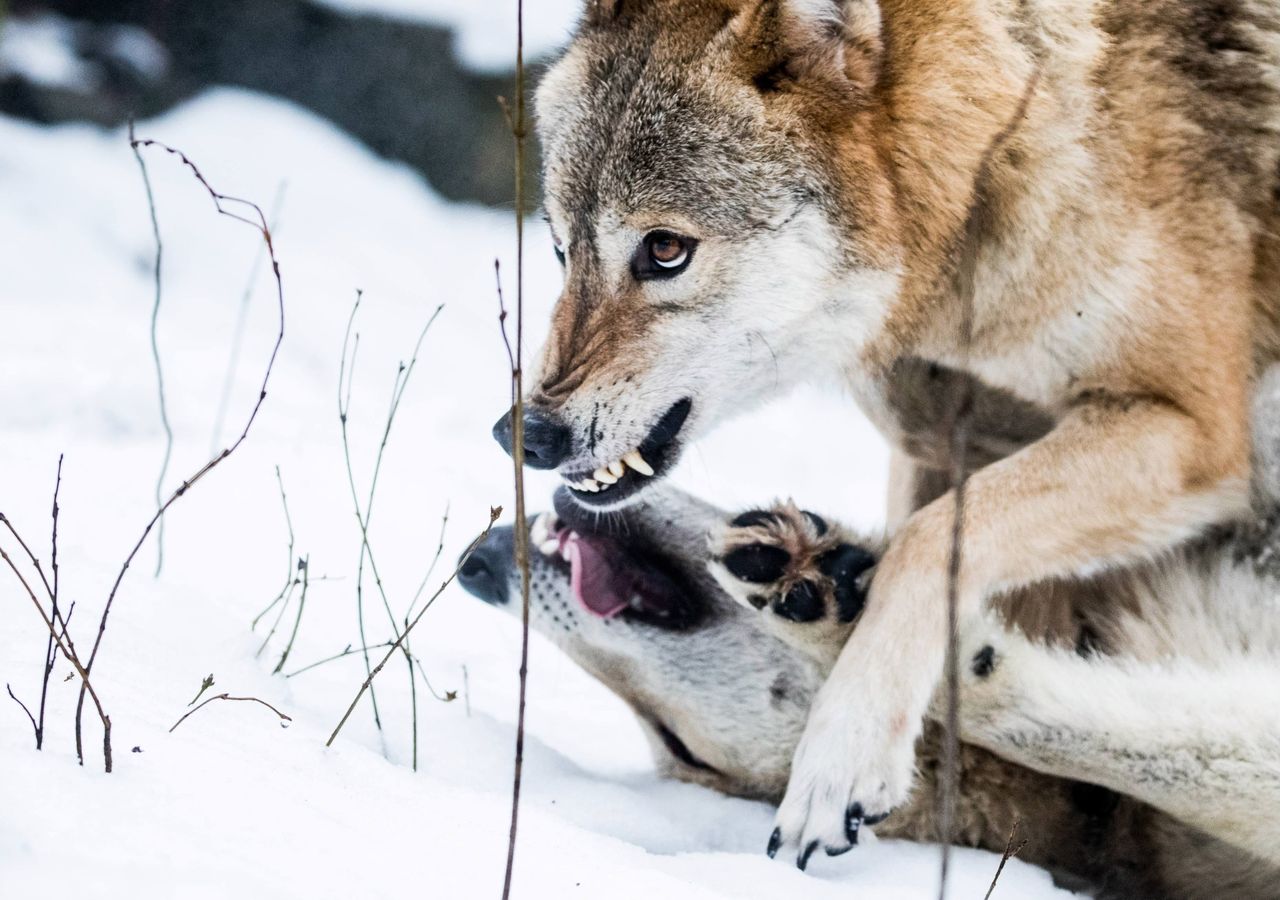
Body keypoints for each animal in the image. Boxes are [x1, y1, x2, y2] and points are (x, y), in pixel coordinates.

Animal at [491, 0, 1280, 860]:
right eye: (561, 249)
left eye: (665, 250)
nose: (525, 435)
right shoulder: (935, 444)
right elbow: (923, 541)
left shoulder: (1187, 427)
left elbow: (929, 545)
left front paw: (843, 757)